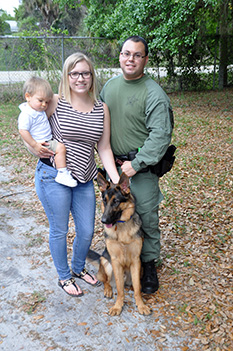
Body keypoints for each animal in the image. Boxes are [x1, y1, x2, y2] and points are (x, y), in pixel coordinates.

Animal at [89, 172, 151, 318]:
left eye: (116, 201)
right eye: (104, 201)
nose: (103, 220)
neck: (122, 227)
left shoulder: (136, 260)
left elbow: (137, 288)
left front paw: (141, 305)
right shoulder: (116, 262)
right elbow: (119, 289)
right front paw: (118, 306)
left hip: (139, 268)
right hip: (105, 262)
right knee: (106, 281)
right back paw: (108, 289)